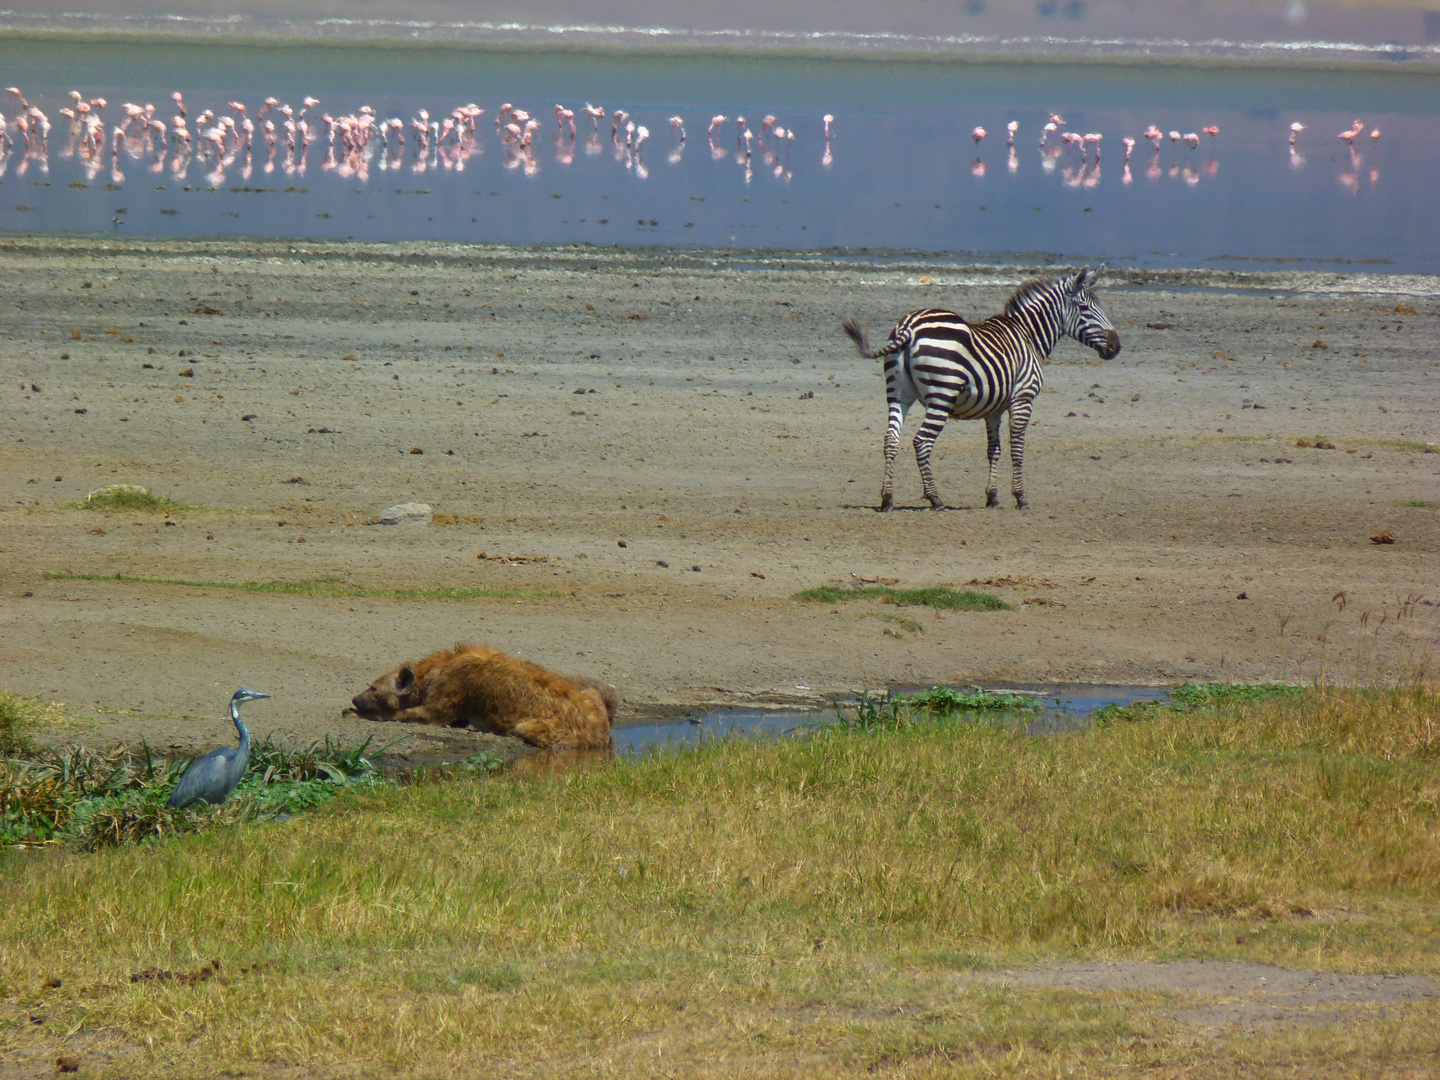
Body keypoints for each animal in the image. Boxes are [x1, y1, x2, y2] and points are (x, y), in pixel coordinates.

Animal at [840, 266, 1123, 512]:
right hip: (941, 395)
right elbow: (1017, 448)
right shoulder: (1023, 399)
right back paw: (935, 499)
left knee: (891, 440)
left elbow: (993, 450)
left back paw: (887, 499)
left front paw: (992, 497)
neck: (1028, 335)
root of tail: (909, 327)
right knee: (921, 442)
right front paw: (1020, 497)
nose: (1116, 347)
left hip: (899, 394)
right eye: (1084, 308)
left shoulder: (994, 408)